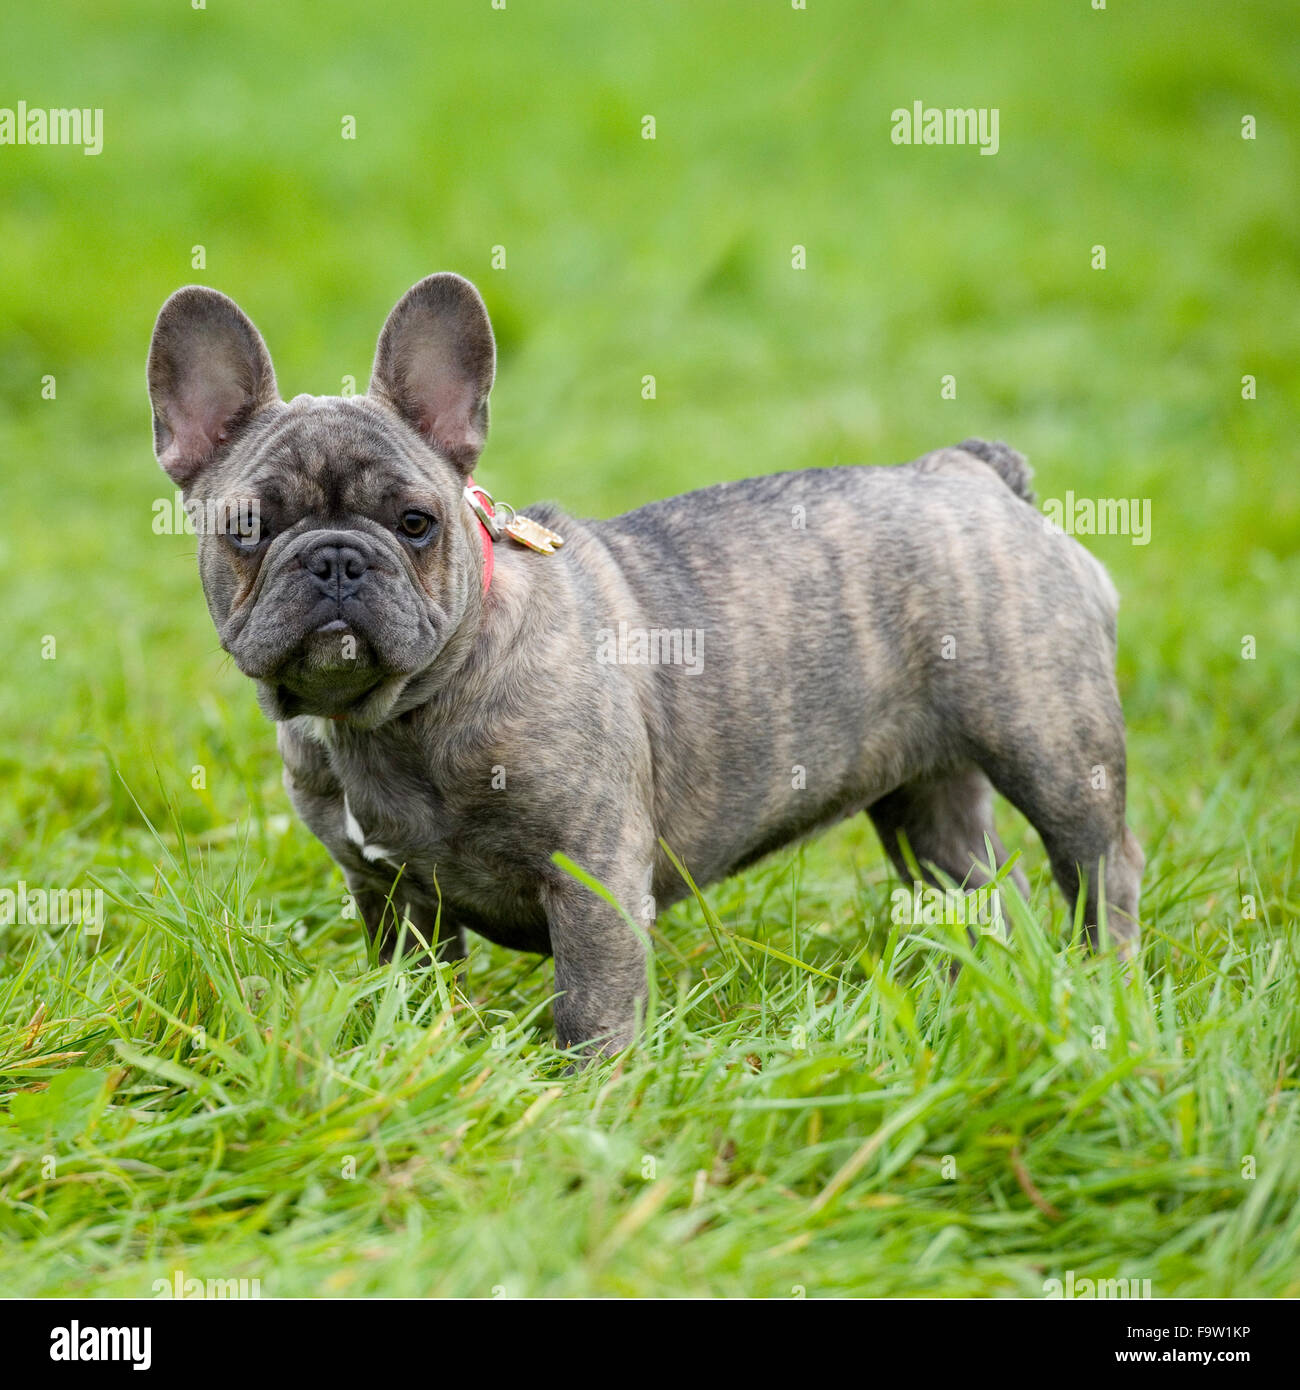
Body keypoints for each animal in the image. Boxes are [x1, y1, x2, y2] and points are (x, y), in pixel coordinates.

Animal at [150, 271, 1140, 1050]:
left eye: (415, 523)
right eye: (247, 528)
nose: (335, 560)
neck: (396, 716)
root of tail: (970, 474)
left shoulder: (592, 881)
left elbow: (590, 1007)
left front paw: (586, 1097)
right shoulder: (391, 898)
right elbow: (416, 990)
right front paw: (416, 1052)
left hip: (1054, 748)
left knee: (1100, 867)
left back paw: (1106, 987)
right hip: (924, 801)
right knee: (979, 890)